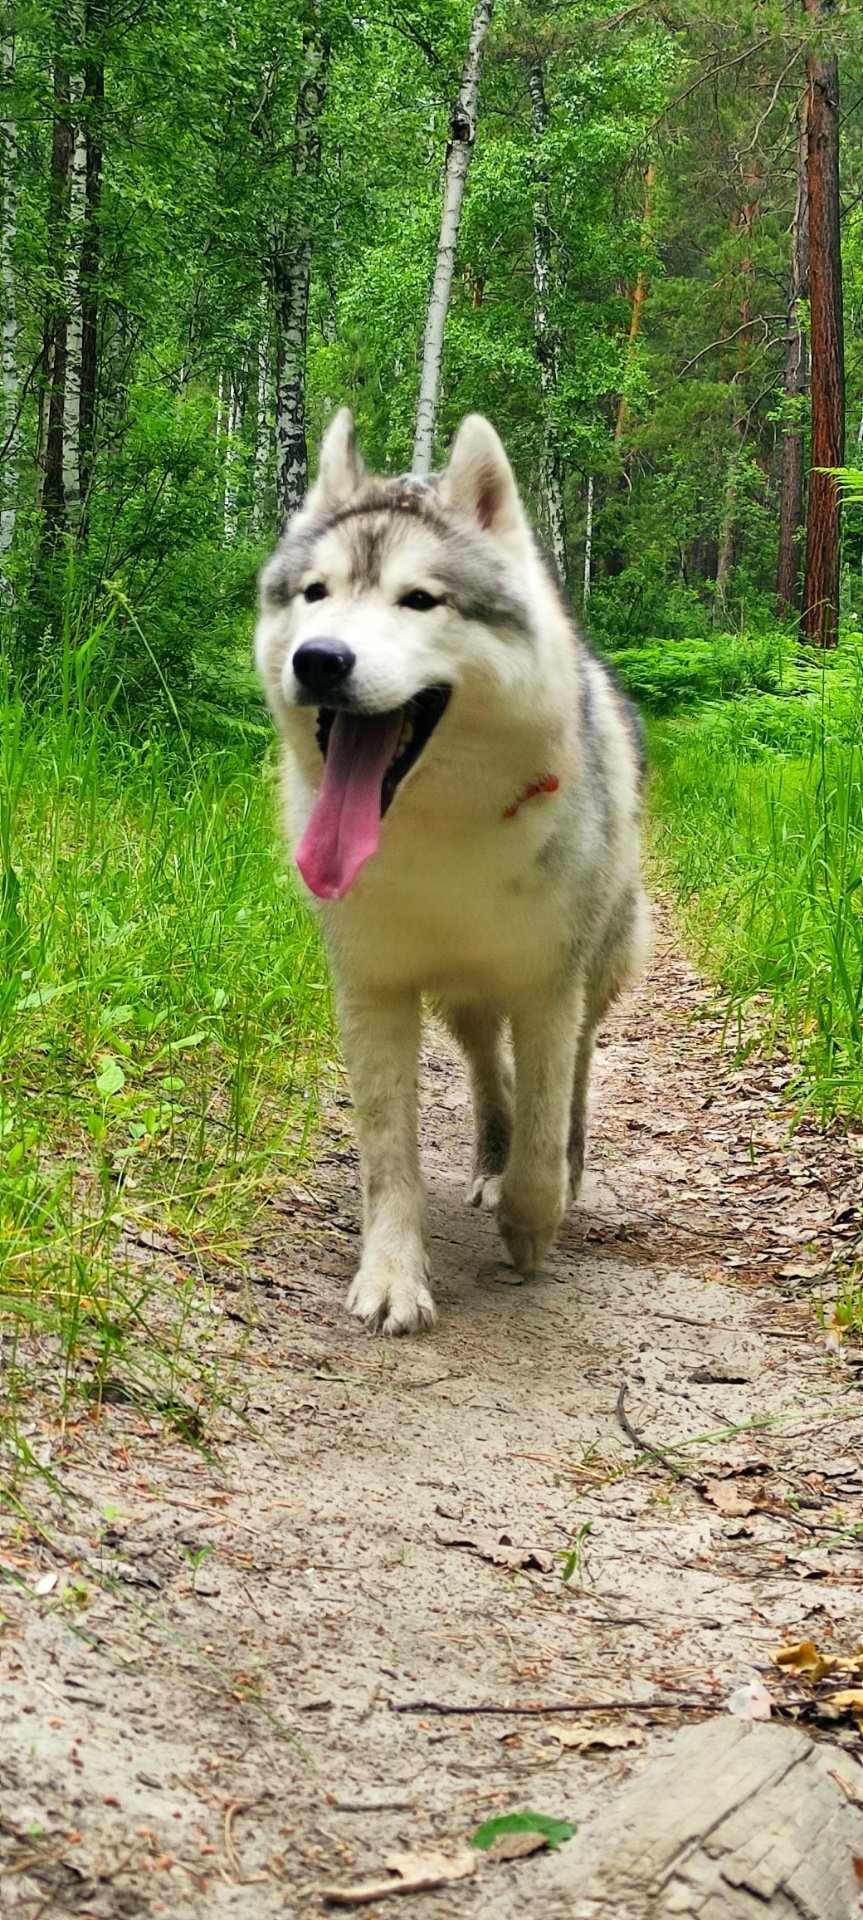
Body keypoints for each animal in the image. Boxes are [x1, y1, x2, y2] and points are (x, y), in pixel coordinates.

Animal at [255, 410, 645, 1328]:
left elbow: (543, 1127)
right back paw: (485, 1163)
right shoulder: (374, 991)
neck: (435, 828)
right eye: (316, 594)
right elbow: (388, 1159)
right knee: (485, 1073)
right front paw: (393, 1276)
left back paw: (555, 1175)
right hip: (464, 1002)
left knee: (570, 1082)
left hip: (592, 976)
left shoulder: (547, 988)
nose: (319, 659)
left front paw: (532, 1224)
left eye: (419, 600)